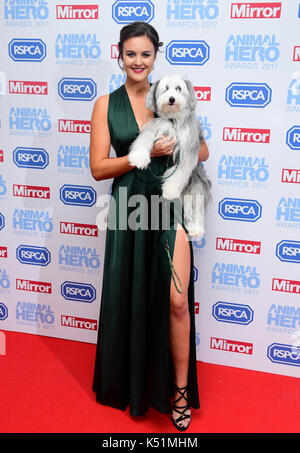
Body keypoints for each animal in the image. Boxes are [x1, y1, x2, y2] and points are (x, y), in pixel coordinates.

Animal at [128, 74, 211, 237]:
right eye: (165, 89)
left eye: (178, 88)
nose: (171, 99)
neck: (173, 120)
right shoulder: (156, 129)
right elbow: (144, 139)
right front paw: (139, 158)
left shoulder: (187, 151)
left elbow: (178, 173)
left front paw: (169, 191)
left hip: (195, 189)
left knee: (195, 210)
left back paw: (195, 229)